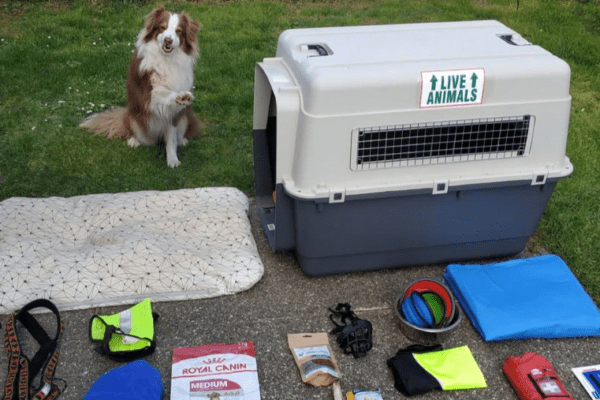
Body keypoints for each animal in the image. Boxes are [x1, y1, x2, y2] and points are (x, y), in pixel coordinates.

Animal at [81, 8, 203, 167]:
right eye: (162, 27)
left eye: (178, 31)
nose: (168, 40)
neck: (166, 60)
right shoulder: (148, 94)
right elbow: (162, 93)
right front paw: (179, 96)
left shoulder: (173, 115)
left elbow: (171, 138)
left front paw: (172, 159)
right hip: (134, 117)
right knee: (134, 133)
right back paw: (133, 140)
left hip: (185, 116)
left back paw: (181, 139)